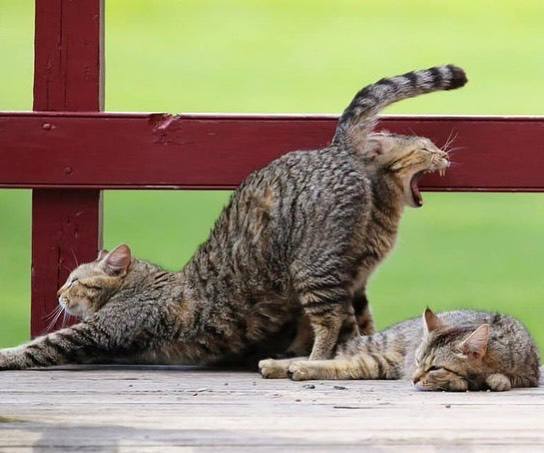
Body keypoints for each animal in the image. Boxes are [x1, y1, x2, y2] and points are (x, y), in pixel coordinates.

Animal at [0, 65, 467, 370]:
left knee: (331, 320)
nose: (59, 292)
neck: (146, 282)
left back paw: (313, 361)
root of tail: (333, 150)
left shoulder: (100, 331)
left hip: (312, 267)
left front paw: (8, 354)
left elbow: (41, 345)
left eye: (74, 280)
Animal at [261, 308, 540, 392]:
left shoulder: (529, 375)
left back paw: (292, 368)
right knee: (333, 353)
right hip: (377, 345)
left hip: (378, 363)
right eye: (418, 361)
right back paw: (278, 365)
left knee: (342, 364)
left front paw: (495, 380)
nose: (413, 377)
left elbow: (504, 378)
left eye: (434, 367)